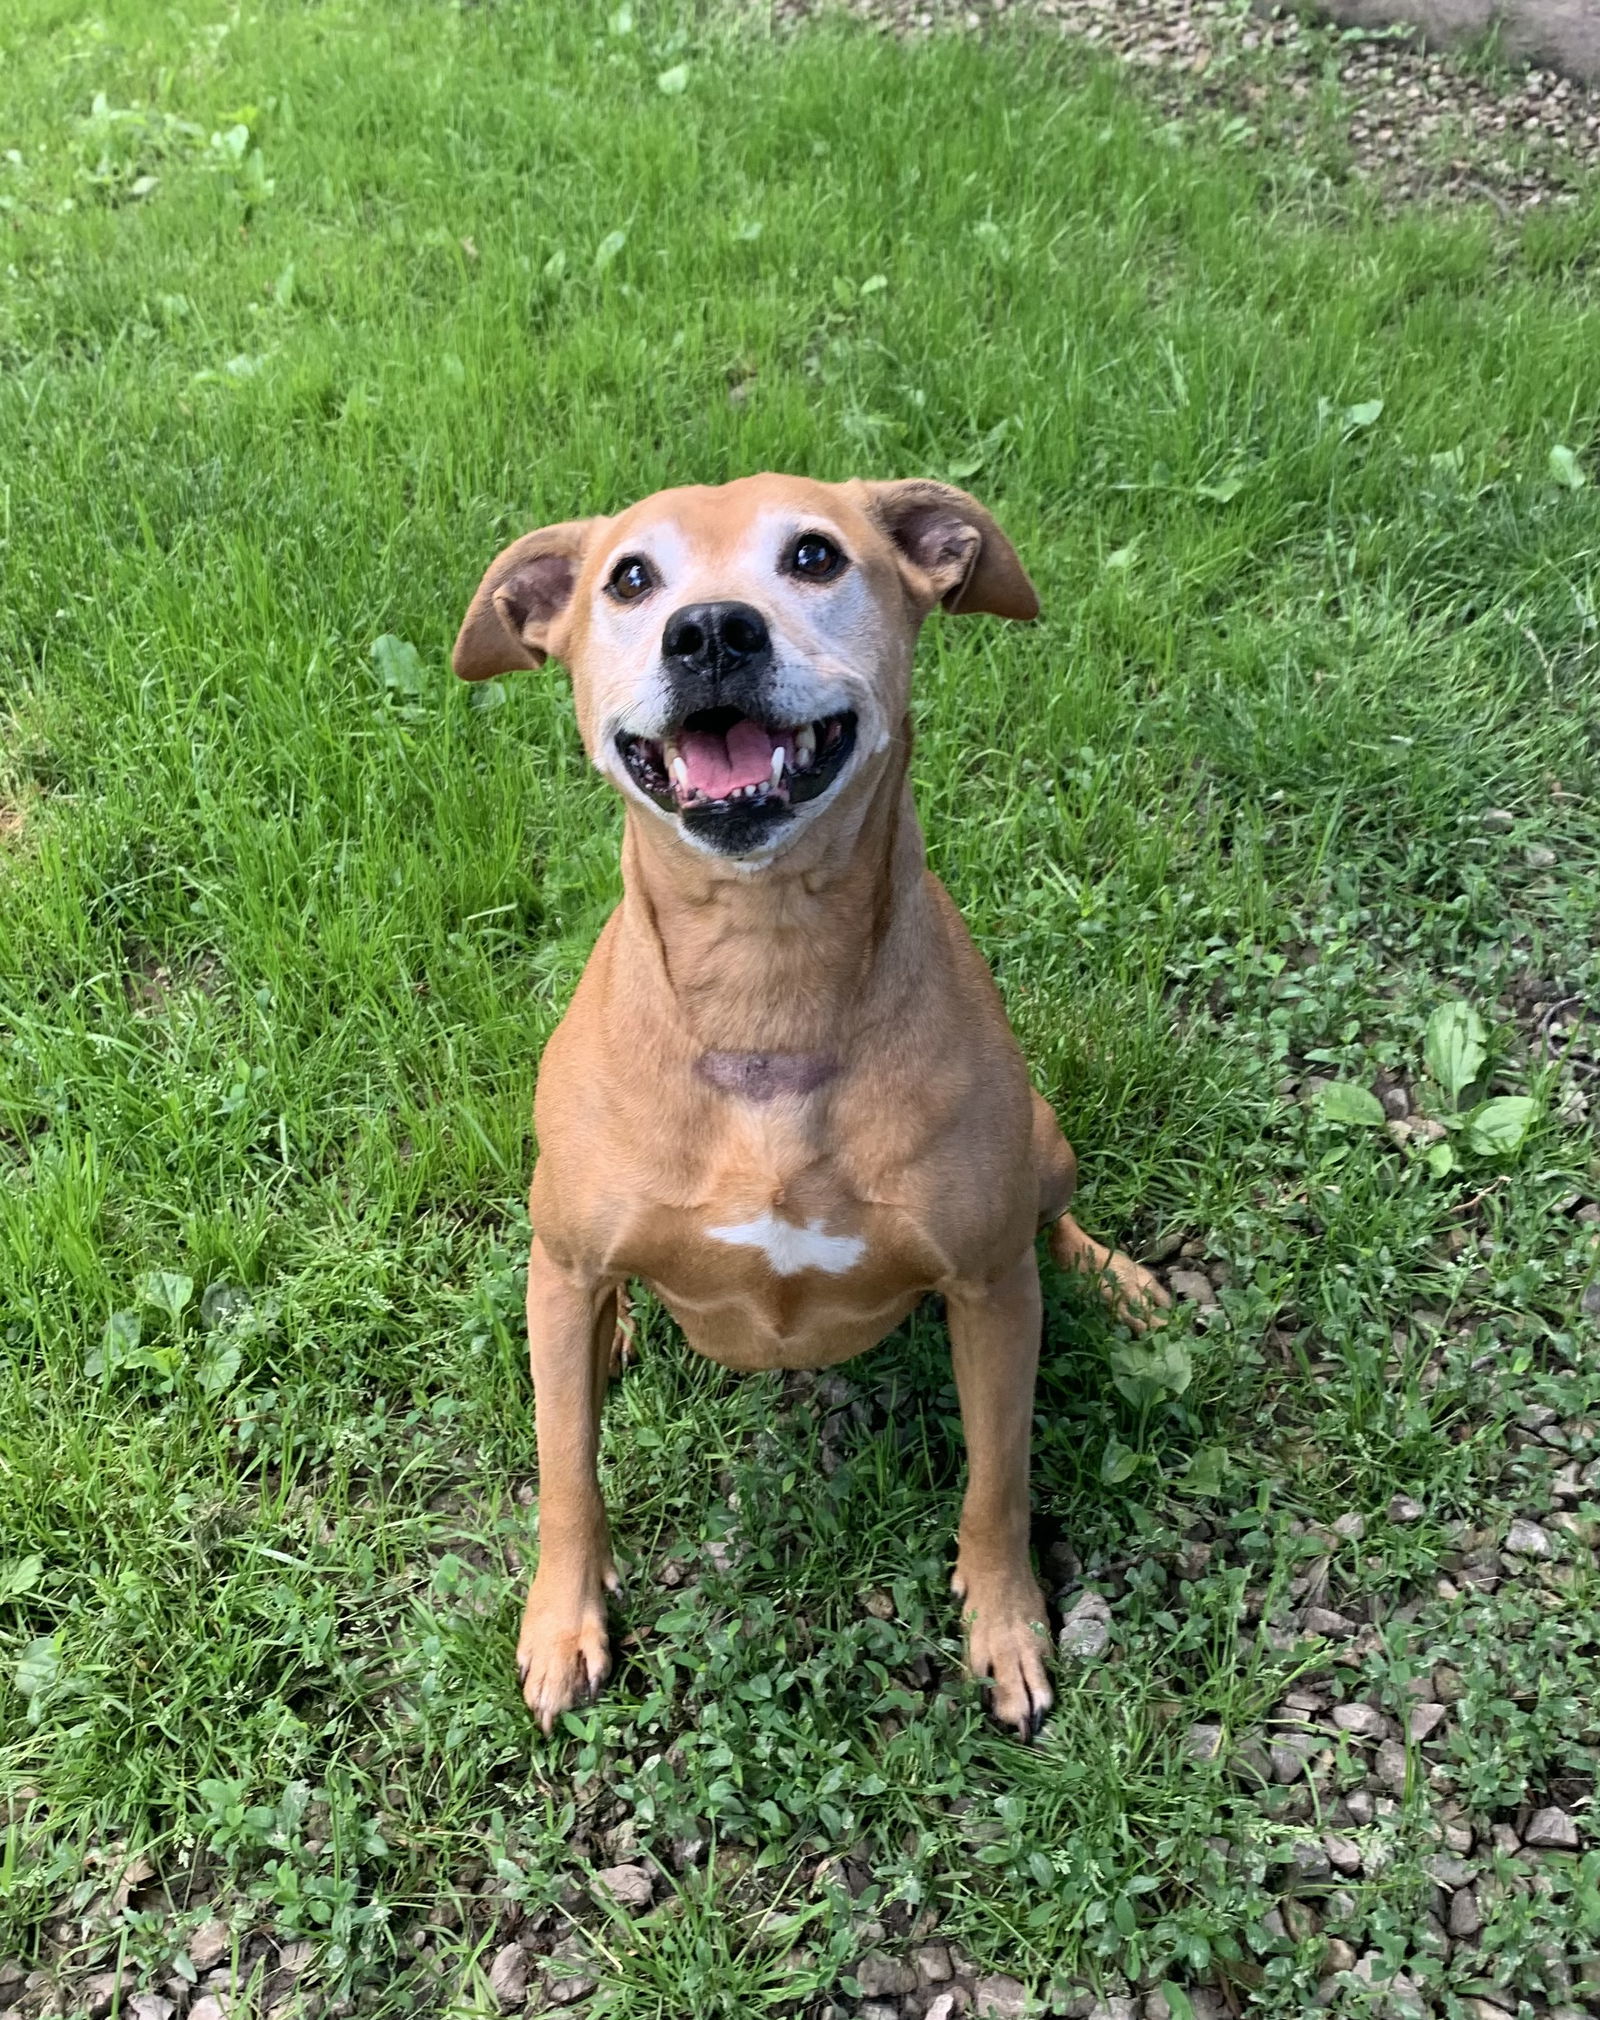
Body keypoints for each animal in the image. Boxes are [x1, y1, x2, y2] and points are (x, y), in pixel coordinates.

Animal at [450, 472, 1163, 1737]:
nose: (710, 631)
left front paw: (1006, 1623)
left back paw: (1113, 1278)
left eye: (816, 556)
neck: (765, 983)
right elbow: (566, 1466)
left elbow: (997, 1477)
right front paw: (562, 1621)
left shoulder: (988, 1290)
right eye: (629, 578)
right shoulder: (566, 1259)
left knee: (1054, 1218)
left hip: (1043, 1142)